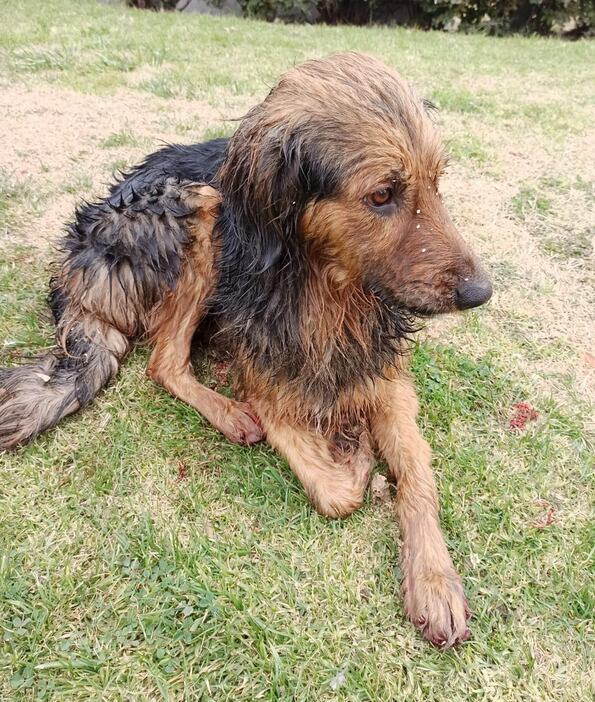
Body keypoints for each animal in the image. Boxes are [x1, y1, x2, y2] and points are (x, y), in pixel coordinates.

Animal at [1, 53, 494, 648]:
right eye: (382, 195)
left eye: (436, 183)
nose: (481, 292)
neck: (327, 289)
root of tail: (79, 259)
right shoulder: (264, 377)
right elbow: (332, 488)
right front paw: (353, 458)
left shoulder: (388, 377)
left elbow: (418, 471)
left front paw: (435, 580)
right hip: (198, 208)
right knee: (164, 364)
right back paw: (231, 415)